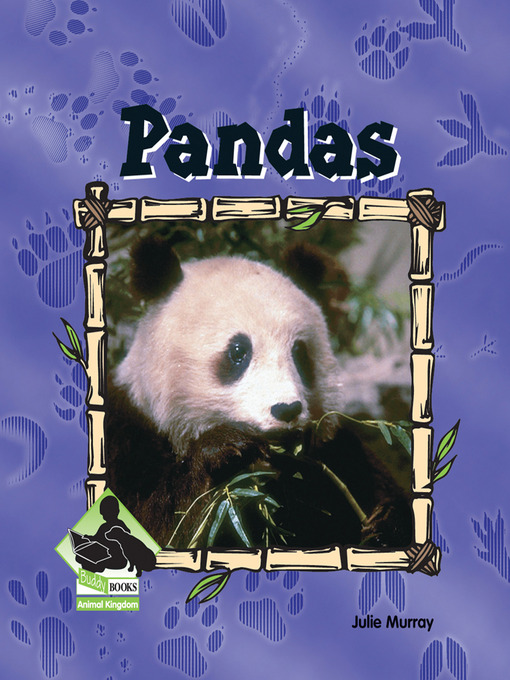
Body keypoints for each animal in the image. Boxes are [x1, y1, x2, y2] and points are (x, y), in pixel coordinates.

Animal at [106, 236, 412, 549]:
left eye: (299, 352)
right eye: (238, 352)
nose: (286, 409)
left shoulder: (339, 454)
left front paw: (385, 525)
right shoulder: (128, 433)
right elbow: (157, 525)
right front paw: (225, 445)